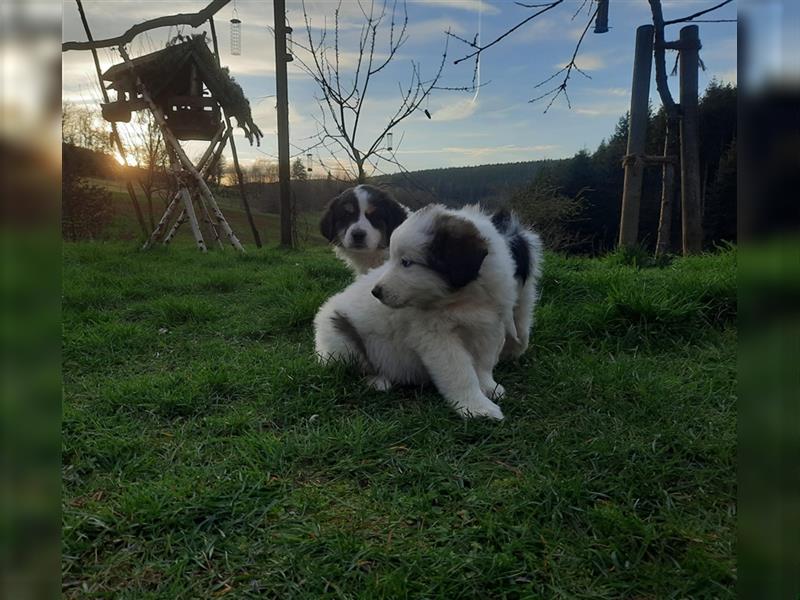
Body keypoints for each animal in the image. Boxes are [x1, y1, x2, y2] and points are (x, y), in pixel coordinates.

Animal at [312, 204, 520, 420]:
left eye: (406, 262)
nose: (376, 292)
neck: (464, 300)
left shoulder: (489, 325)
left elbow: (483, 364)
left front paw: (488, 387)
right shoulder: (437, 337)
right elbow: (460, 372)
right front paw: (477, 408)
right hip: (342, 339)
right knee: (355, 366)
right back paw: (378, 381)